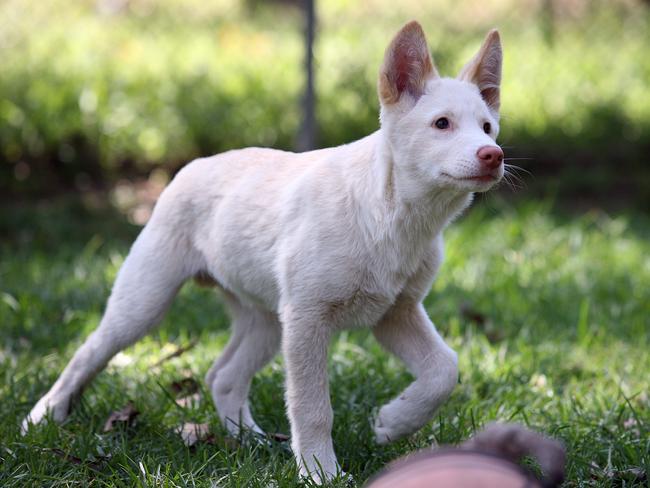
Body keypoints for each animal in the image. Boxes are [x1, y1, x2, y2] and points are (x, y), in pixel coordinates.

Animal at [24, 21, 502, 482]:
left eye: (487, 127)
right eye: (441, 124)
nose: (493, 155)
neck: (392, 213)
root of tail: (191, 165)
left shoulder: (395, 313)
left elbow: (444, 369)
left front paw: (392, 422)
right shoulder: (308, 318)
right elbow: (313, 408)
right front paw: (321, 472)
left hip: (266, 320)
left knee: (222, 377)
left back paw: (250, 440)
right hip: (146, 301)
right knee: (89, 351)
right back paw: (43, 416)